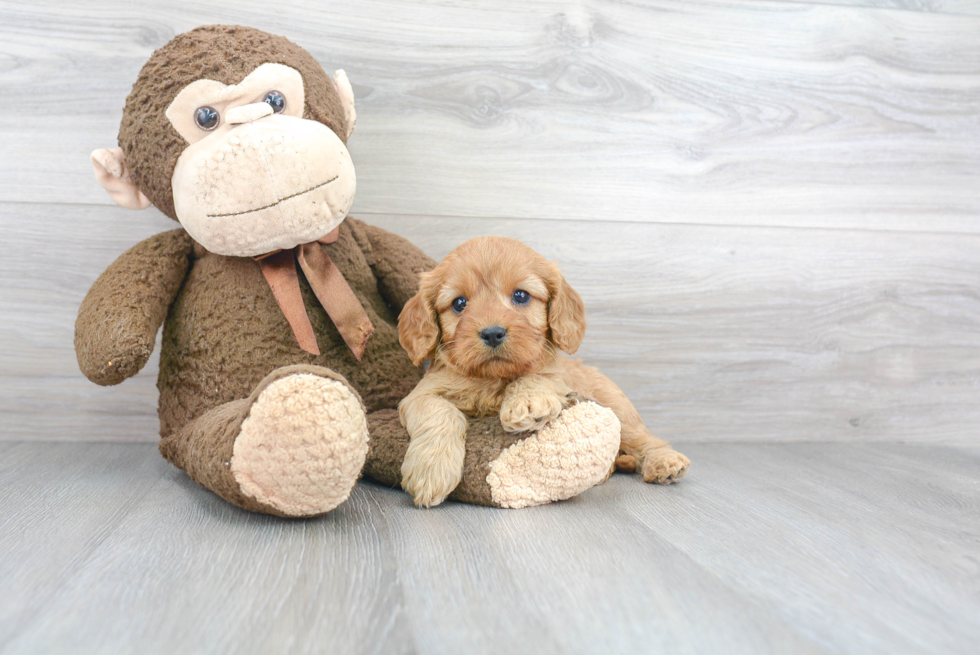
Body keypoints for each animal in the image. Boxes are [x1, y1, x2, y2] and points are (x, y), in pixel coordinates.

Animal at [396, 237, 688, 508]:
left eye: (521, 296)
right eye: (459, 303)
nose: (492, 333)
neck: (493, 377)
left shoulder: (558, 376)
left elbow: (538, 374)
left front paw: (527, 402)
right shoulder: (420, 394)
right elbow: (440, 411)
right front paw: (431, 471)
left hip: (619, 409)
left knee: (643, 439)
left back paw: (665, 462)